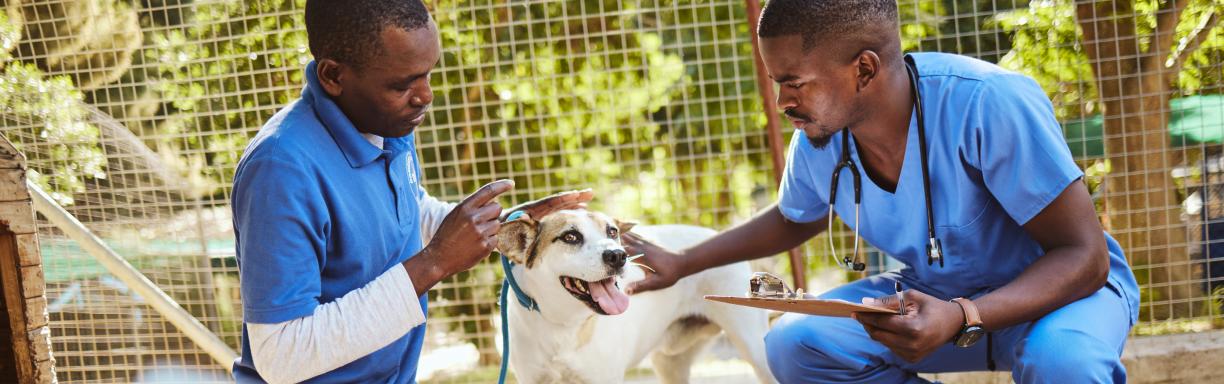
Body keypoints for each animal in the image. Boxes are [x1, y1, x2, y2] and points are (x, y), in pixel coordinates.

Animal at [496, 210, 773, 384]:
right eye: (570, 236)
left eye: (612, 232)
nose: (618, 255)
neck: (564, 325)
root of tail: (713, 232)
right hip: (668, 363)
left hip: (757, 352)